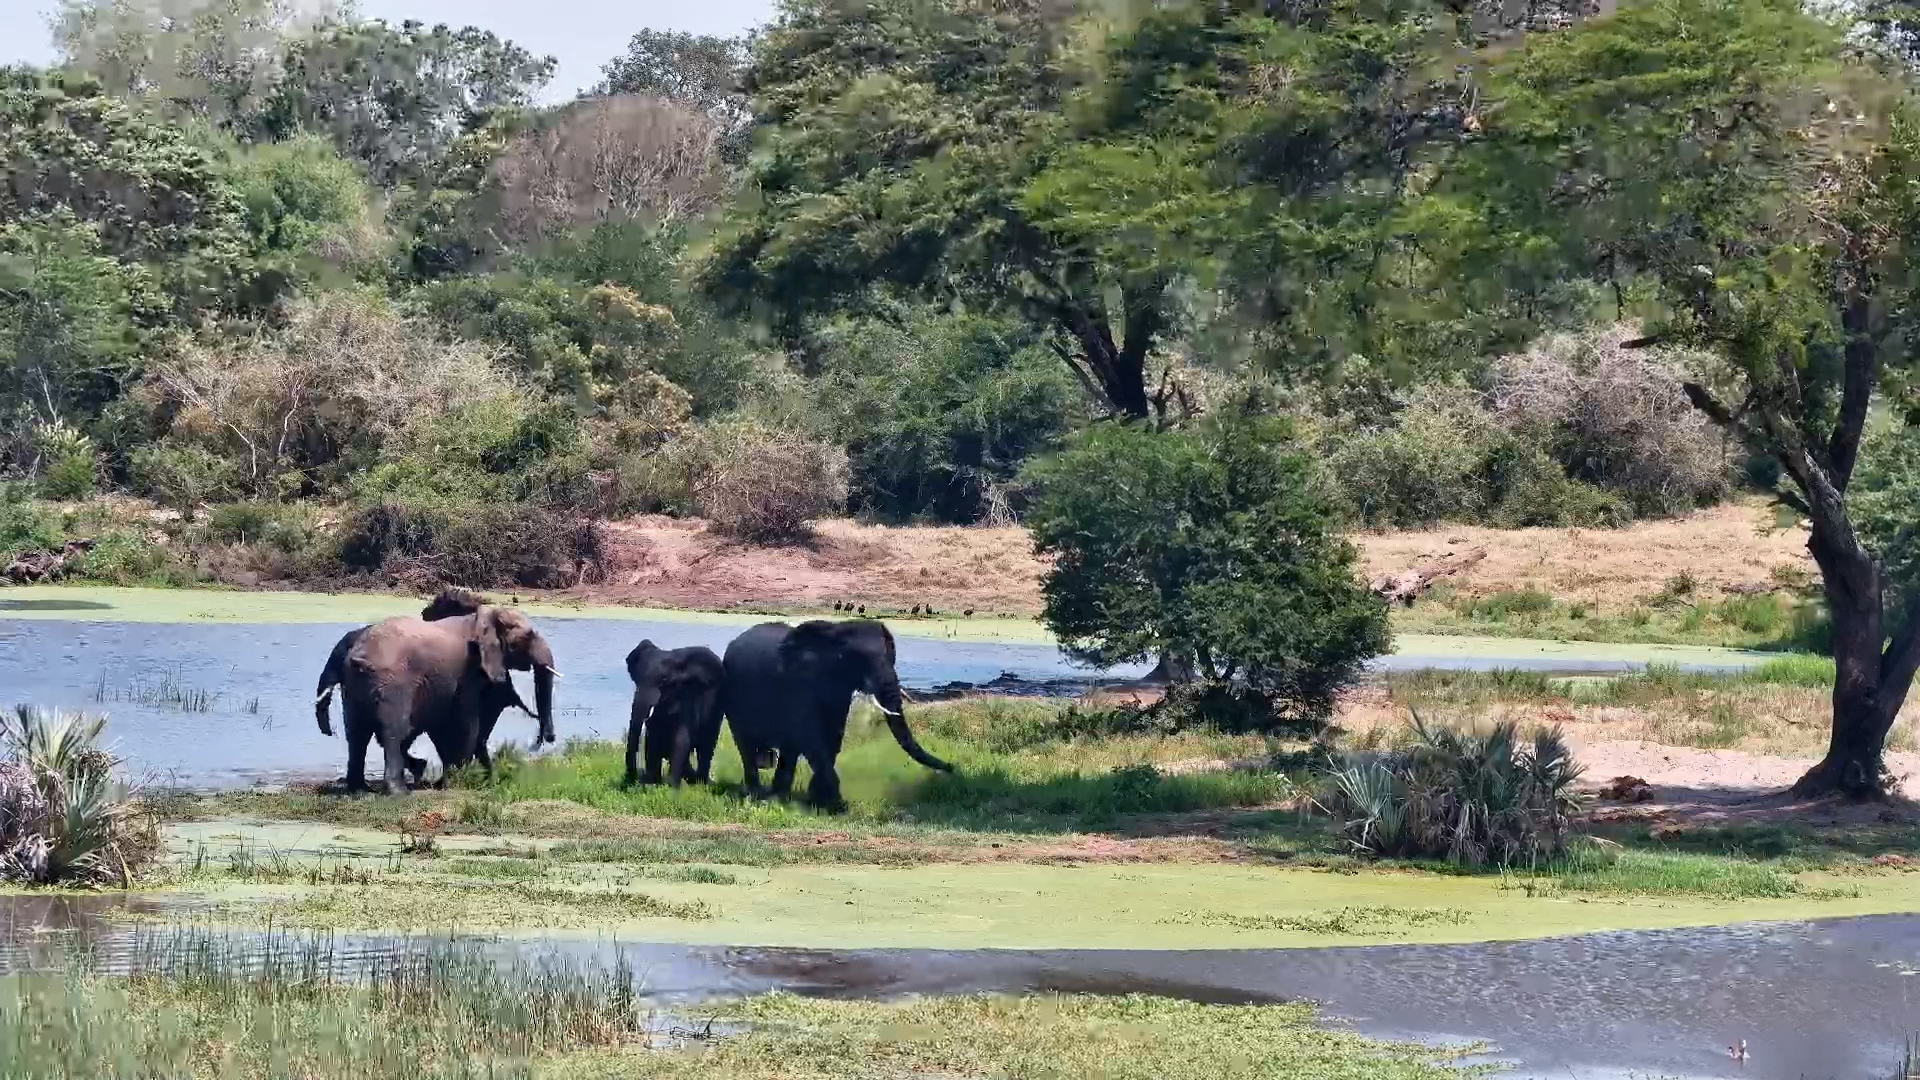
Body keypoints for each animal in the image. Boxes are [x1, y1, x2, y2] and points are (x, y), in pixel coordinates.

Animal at [623, 641, 725, 787]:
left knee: (707, 742)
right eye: (637, 679)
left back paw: (700, 782)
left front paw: (671, 786)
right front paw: (651, 783)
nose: (631, 777)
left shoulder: (687, 694)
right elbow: (653, 733)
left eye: (663, 680)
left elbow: (681, 737)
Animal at [721, 619, 951, 810]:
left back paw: (779, 796)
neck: (836, 630)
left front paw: (818, 801)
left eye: (891, 655)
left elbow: (833, 737)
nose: (951, 767)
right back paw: (757, 794)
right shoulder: (796, 684)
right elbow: (810, 737)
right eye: (856, 659)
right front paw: (836, 806)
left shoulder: (839, 692)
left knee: (788, 750)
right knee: (746, 744)